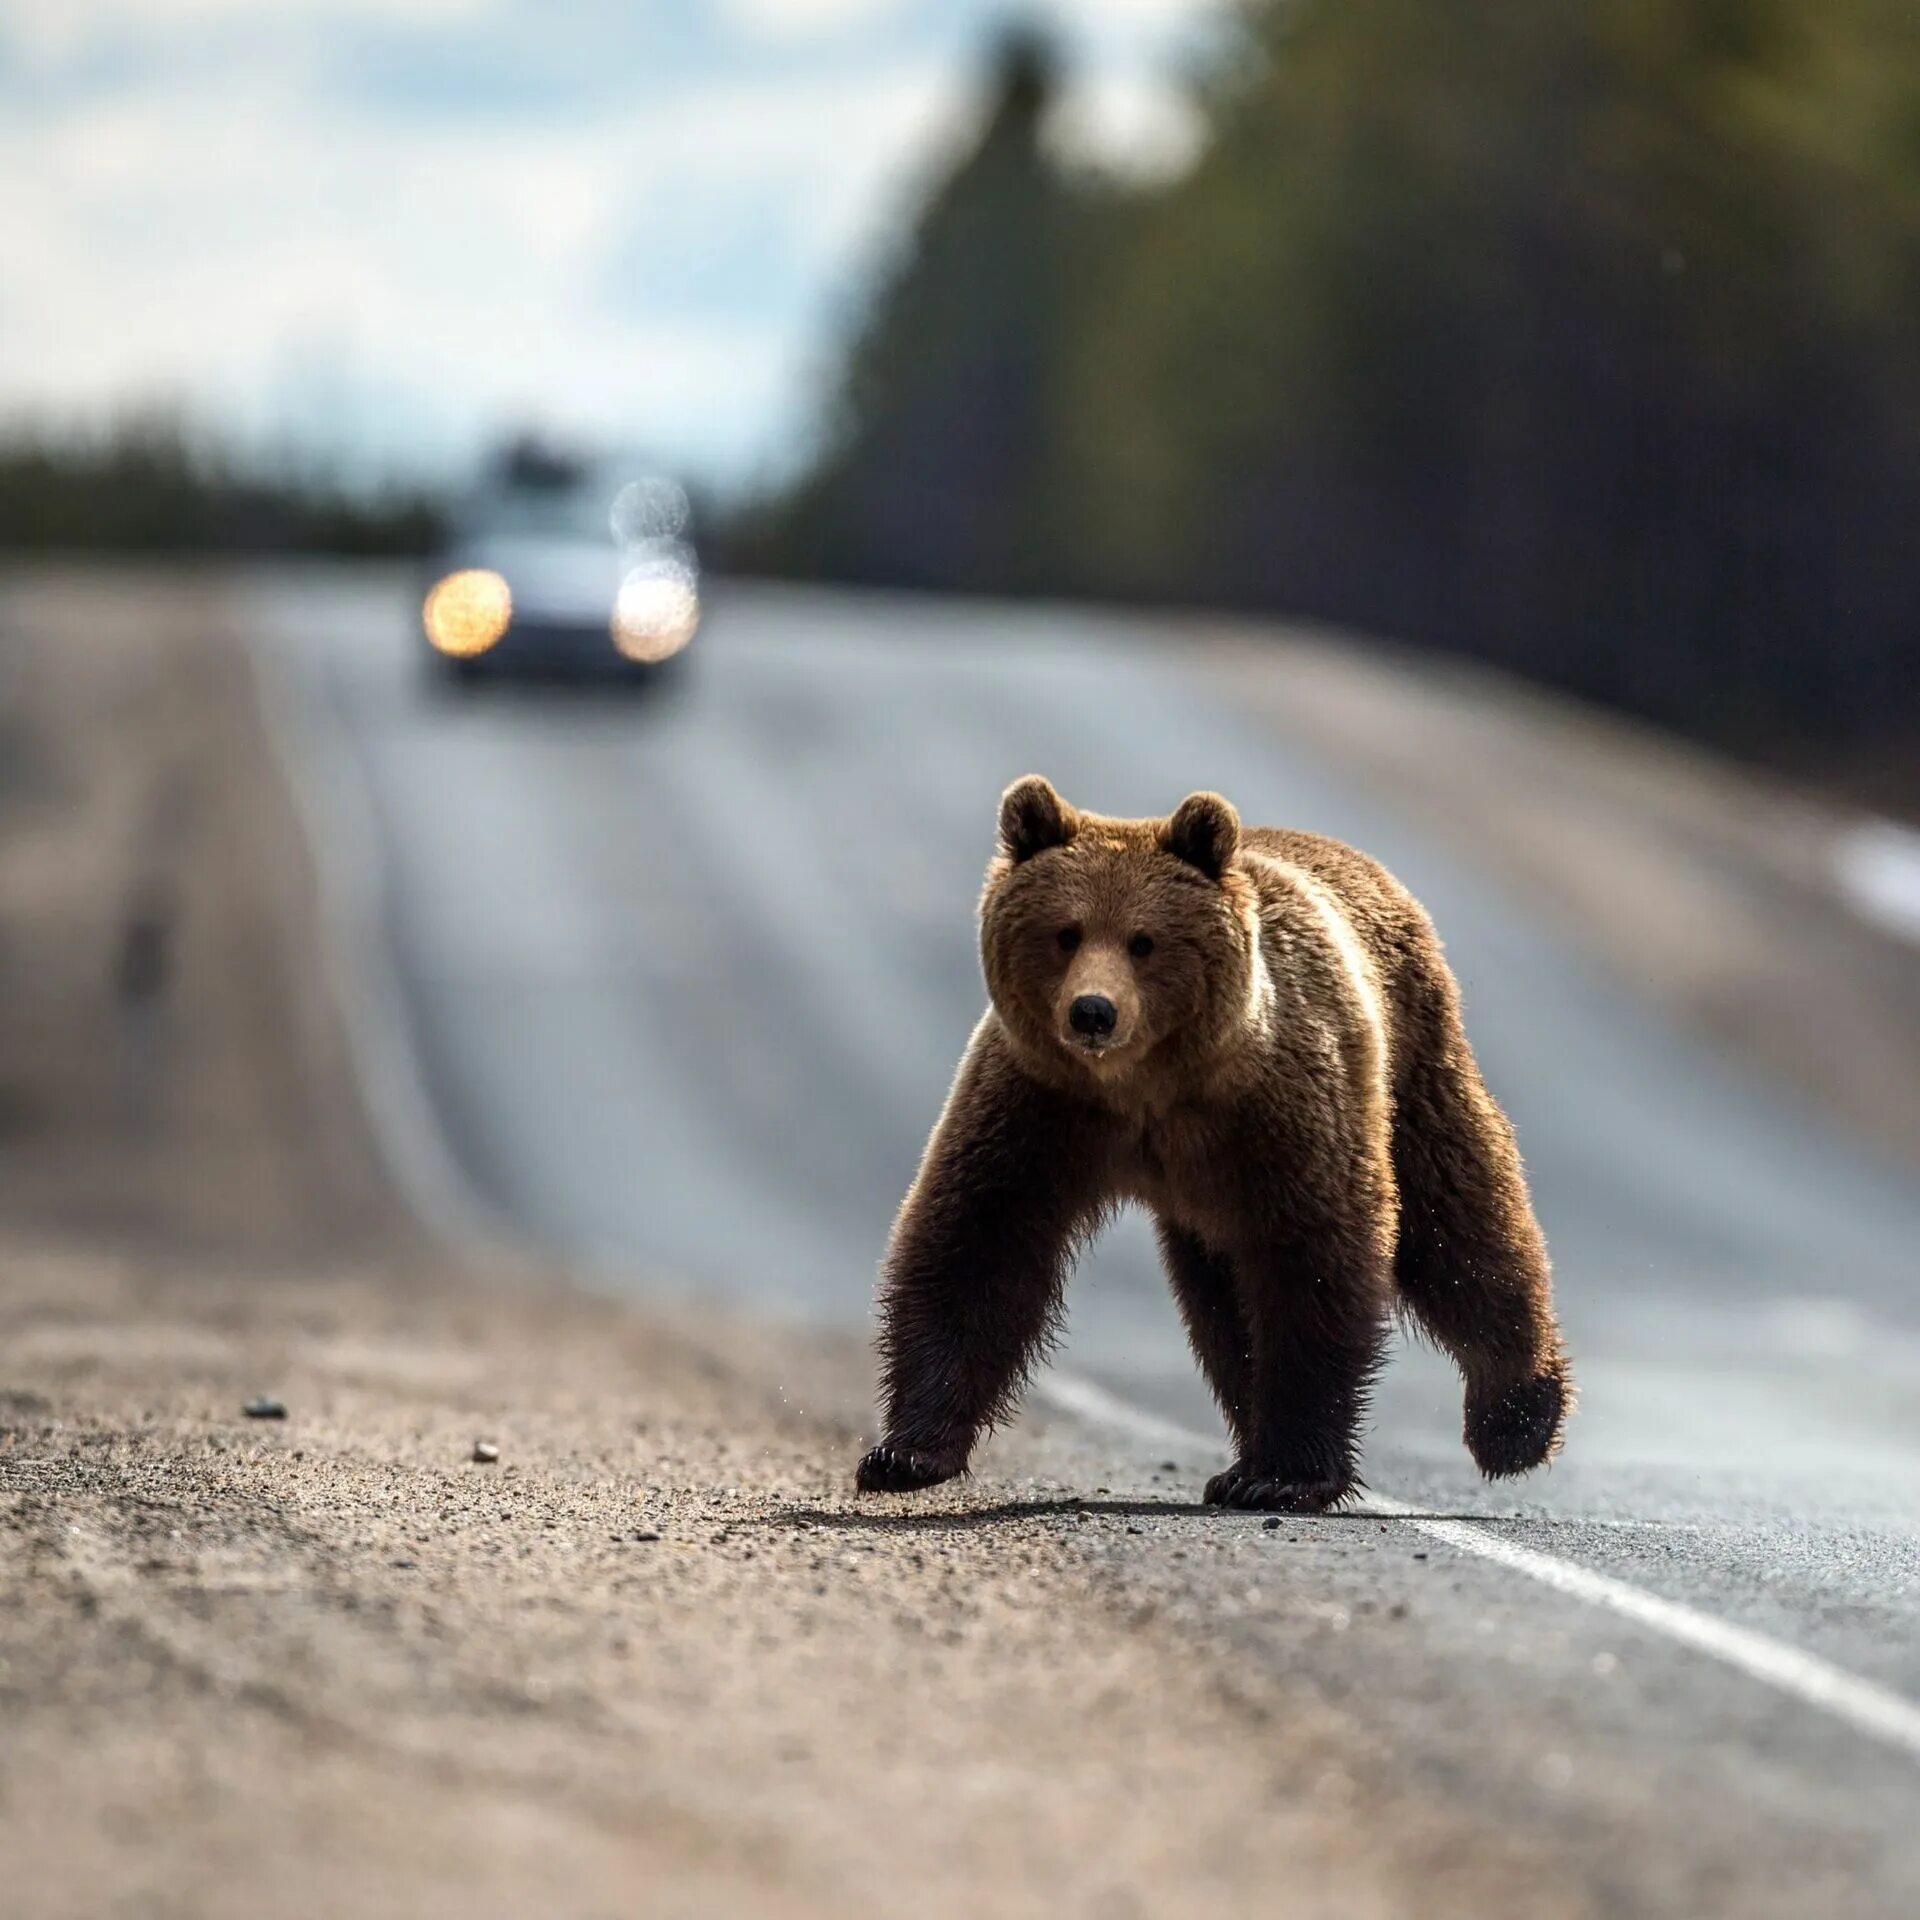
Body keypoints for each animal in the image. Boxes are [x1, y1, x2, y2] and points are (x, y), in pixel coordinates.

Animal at [860, 771, 1574, 1505]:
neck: (1148, 1086)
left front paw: (1288, 1476)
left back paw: (1515, 1420)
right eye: (1066, 933)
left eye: (1144, 940)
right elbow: (979, 1241)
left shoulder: (1280, 1109)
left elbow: (1315, 1263)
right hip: (1211, 1204)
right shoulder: (1042, 1104)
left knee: (1460, 1223)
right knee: (1223, 1305)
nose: (1093, 1012)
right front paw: (905, 1453)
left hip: (1411, 1066)